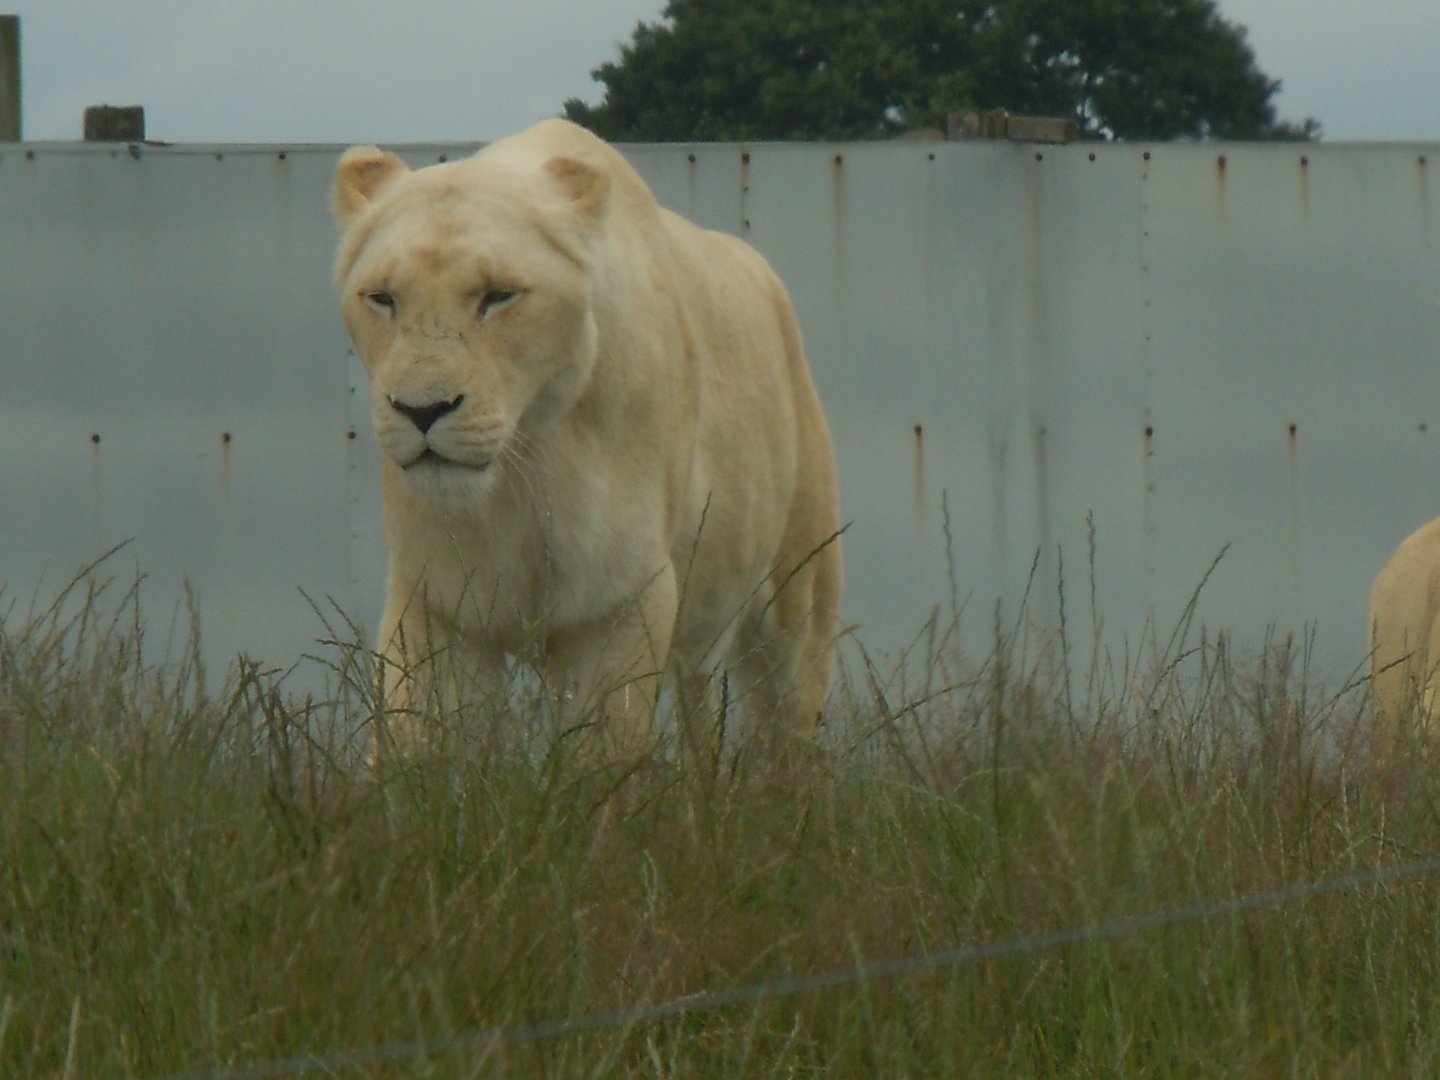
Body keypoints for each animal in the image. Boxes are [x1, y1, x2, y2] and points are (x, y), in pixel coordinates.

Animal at [331, 119, 842, 758]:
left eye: (498, 295)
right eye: (382, 298)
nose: (421, 411)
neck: (522, 461)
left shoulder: (619, 598)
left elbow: (602, 746)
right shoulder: (436, 597)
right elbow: (417, 732)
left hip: (798, 591)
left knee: (787, 717)